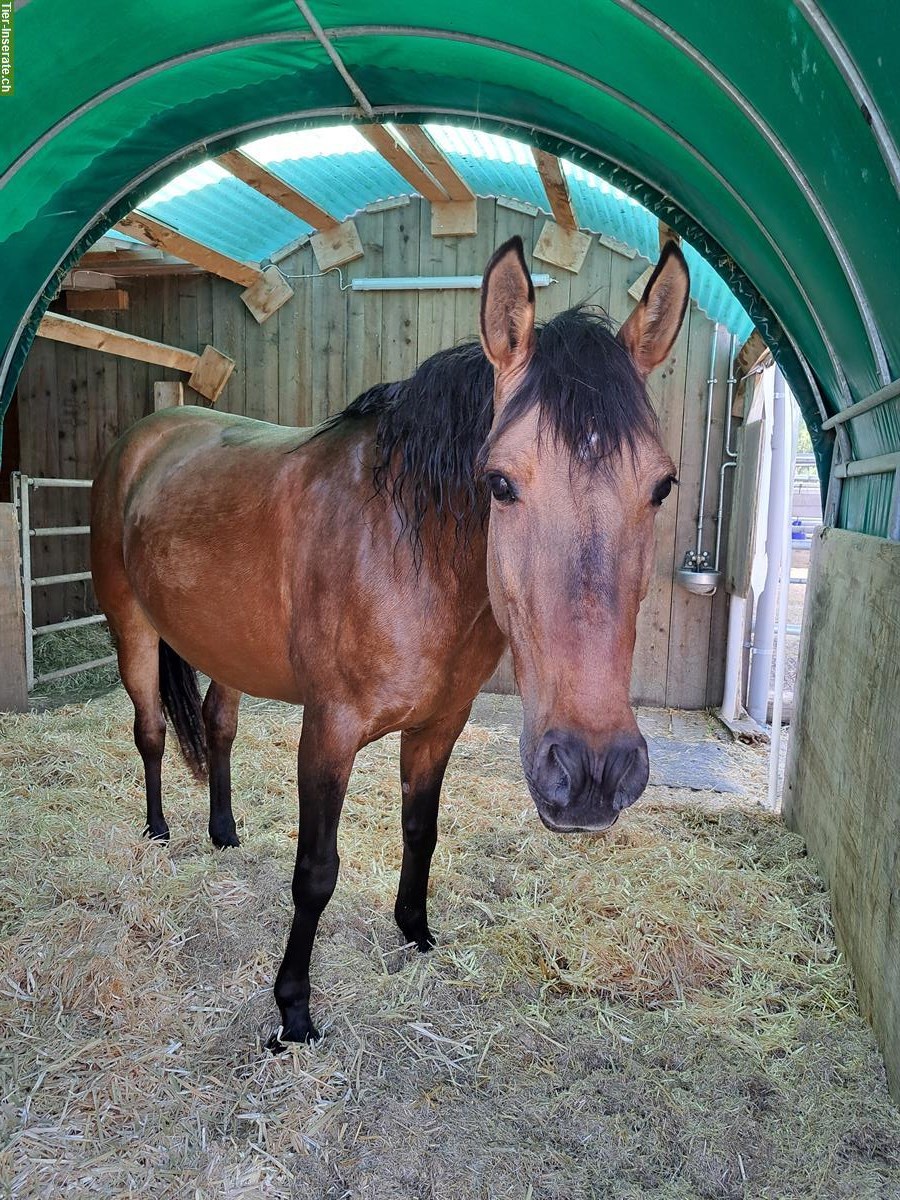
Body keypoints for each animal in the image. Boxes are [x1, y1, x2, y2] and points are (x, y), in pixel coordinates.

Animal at [91, 236, 691, 1041]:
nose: (593, 771)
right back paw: (158, 830)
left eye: (661, 486)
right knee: (151, 730)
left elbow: (421, 832)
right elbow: (316, 872)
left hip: (227, 648)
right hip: (132, 628)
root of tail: (143, 437)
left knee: (217, 726)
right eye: (500, 483)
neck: (406, 551)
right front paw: (293, 1010)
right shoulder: (329, 732)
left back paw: (223, 831)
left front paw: (416, 932)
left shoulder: (440, 726)